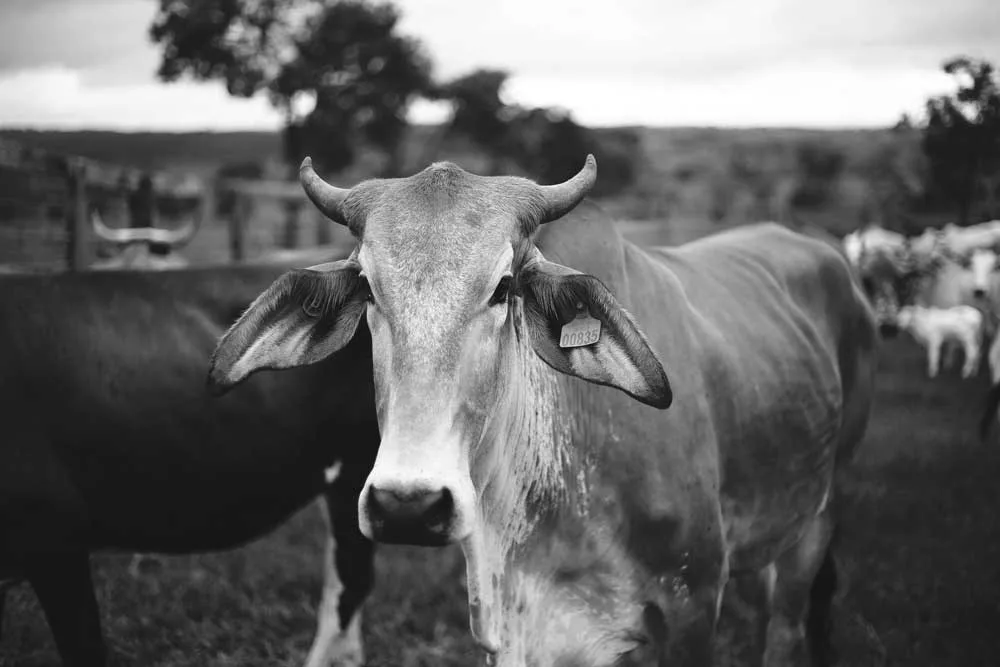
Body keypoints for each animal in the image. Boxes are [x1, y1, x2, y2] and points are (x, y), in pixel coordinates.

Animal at [211, 158, 876, 667]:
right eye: (371, 288)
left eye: (504, 287)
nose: (408, 504)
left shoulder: (693, 603)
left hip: (821, 515)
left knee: (788, 625)